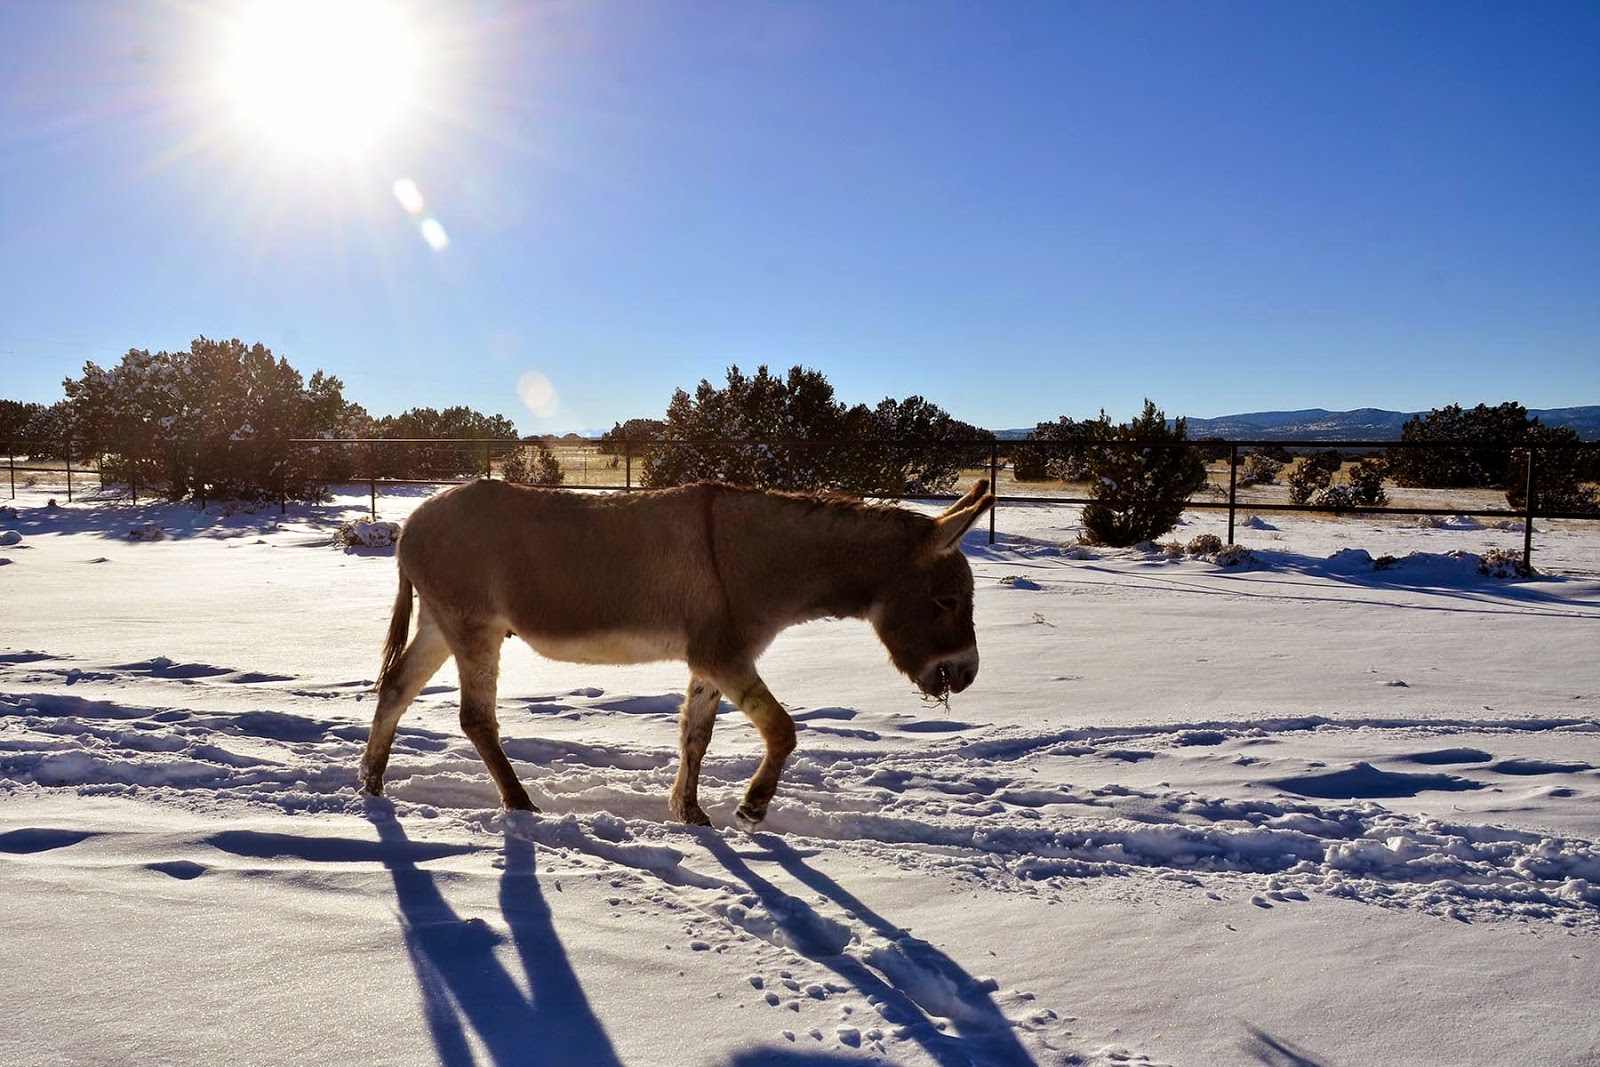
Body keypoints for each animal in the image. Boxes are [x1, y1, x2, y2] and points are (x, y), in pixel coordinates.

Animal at [360, 477, 995, 829]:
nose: (965, 676)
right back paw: (518, 804)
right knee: (475, 717)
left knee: (396, 688)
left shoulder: (710, 663)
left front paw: (689, 814)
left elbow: (696, 734)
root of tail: (411, 521)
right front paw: (751, 809)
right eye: (945, 599)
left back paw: (371, 784)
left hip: (442, 625)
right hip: (473, 629)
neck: (758, 559)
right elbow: (782, 730)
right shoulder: (725, 657)